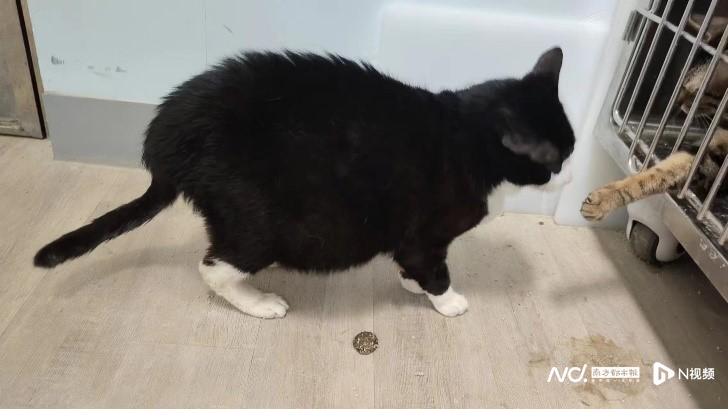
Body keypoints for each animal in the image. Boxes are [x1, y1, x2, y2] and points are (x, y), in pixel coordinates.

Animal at [34, 48, 575, 319]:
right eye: (558, 157)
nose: (570, 177)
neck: (467, 132)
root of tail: (166, 142)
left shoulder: (411, 234)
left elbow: (411, 262)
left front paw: (411, 284)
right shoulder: (428, 229)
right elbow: (433, 266)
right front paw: (446, 300)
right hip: (259, 221)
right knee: (214, 268)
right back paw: (260, 303)